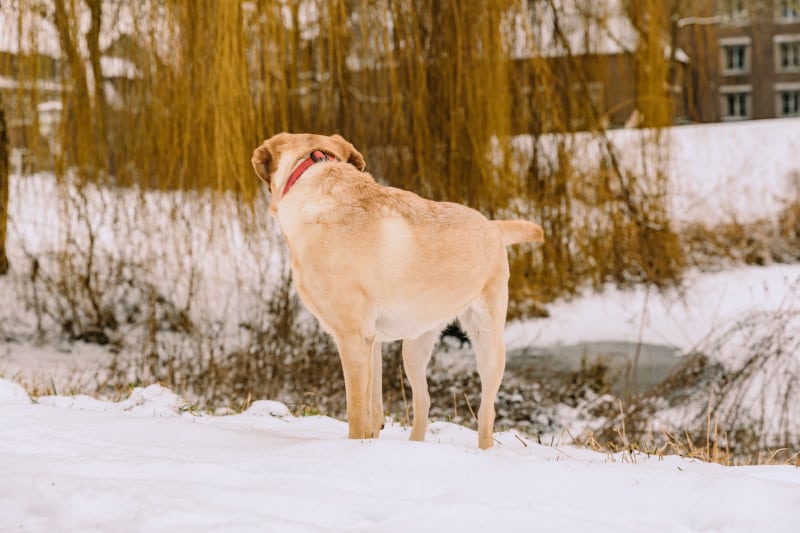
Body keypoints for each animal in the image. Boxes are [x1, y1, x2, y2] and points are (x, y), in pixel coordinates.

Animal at [252, 133, 544, 448]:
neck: (314, 174)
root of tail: (493, 226)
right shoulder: (371, 342)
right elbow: (373, 407)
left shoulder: (353, 338)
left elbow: (356, 412)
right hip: (415, 346)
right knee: (423, 402)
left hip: (488, 341)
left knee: (486, 412)